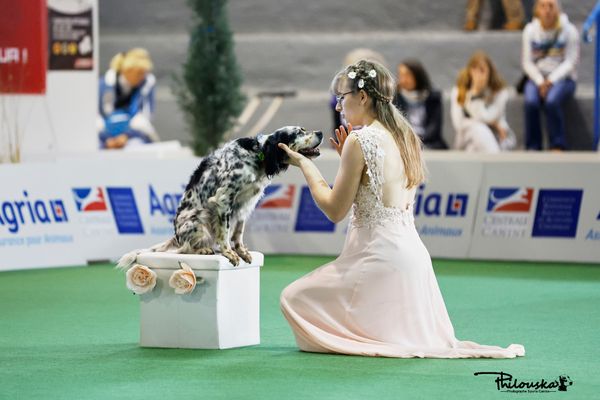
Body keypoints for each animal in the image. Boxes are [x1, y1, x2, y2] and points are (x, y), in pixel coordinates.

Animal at [118, 125, 324, 268]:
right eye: (299, 132)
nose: (321, 132)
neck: (258, 154)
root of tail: (176, 236)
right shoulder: (224, 199)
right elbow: (224, 233)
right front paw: (229, 252)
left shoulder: (245, 204)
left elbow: (238, 233)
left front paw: (241, 251)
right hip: (198, 219)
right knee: (185, 248)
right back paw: (203, 249)